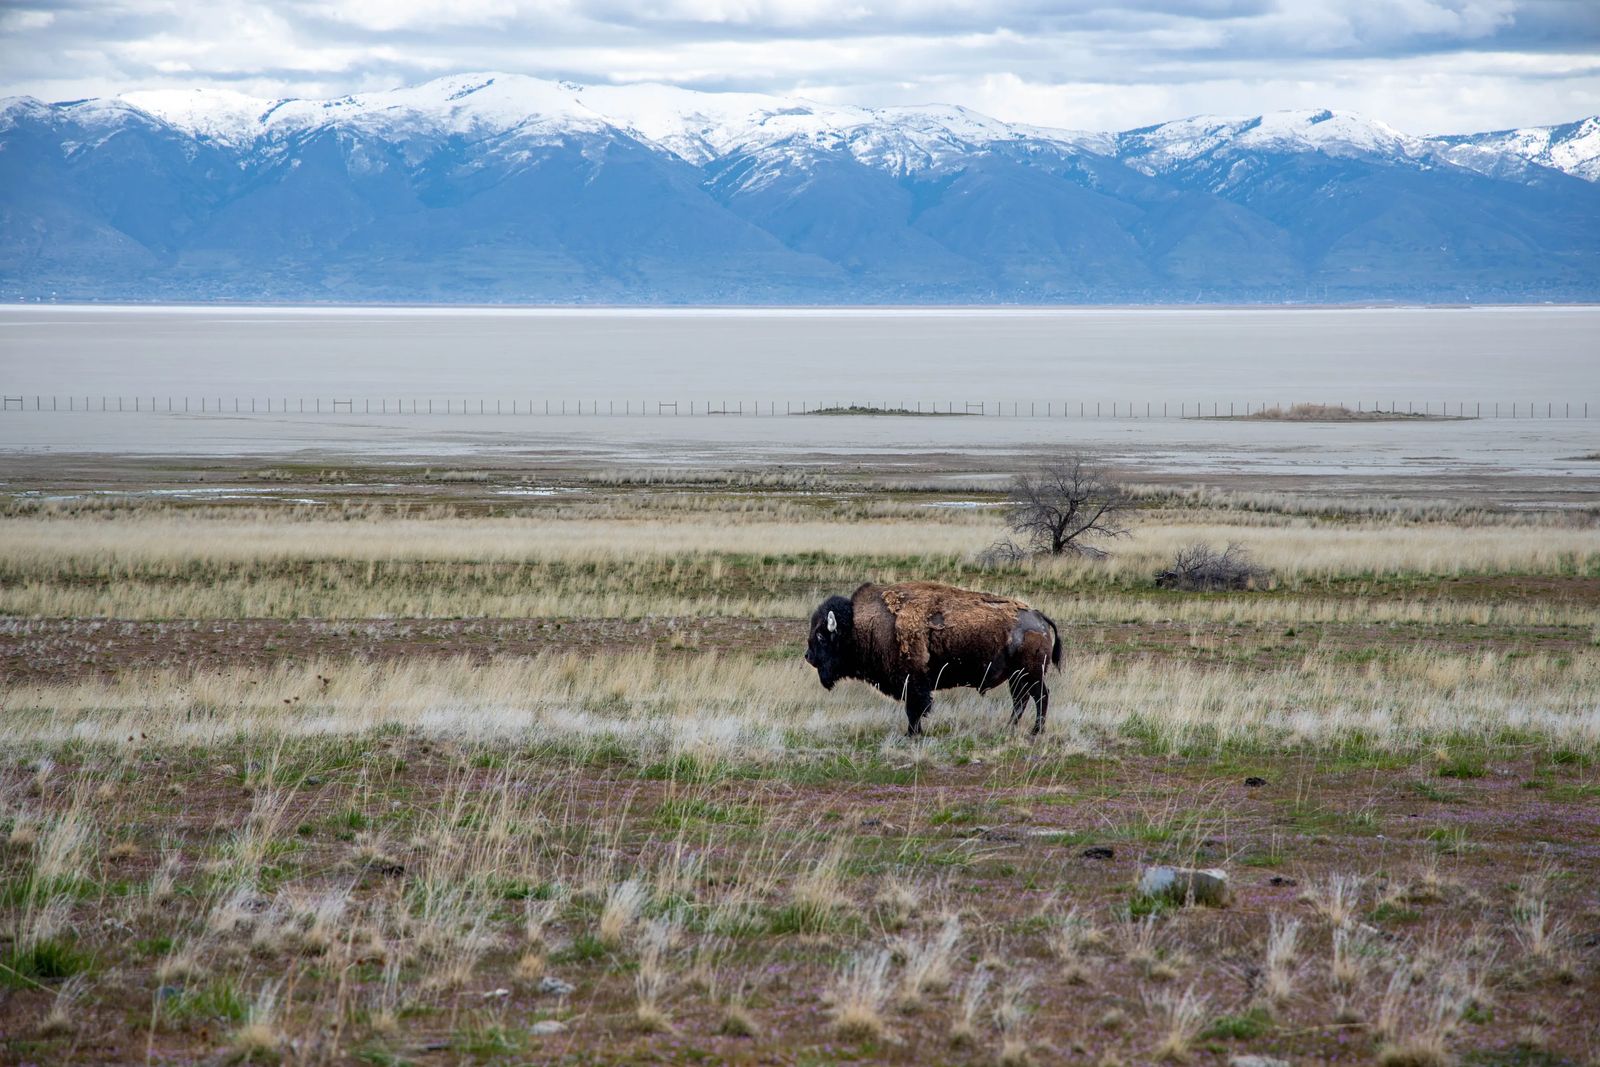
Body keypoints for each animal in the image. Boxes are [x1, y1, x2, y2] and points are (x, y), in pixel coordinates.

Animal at [800, 585, 1062, 735]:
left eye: (821, 635)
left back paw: (1036, 731)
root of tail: (1038, 617)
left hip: (1031, 674)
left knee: (1040, 696)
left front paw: (912, 733)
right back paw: (1010, 727)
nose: (808, 656)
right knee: (1021, 699)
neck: (859, 626)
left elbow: (914, 709)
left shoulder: (914, 684)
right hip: (1016, 677)